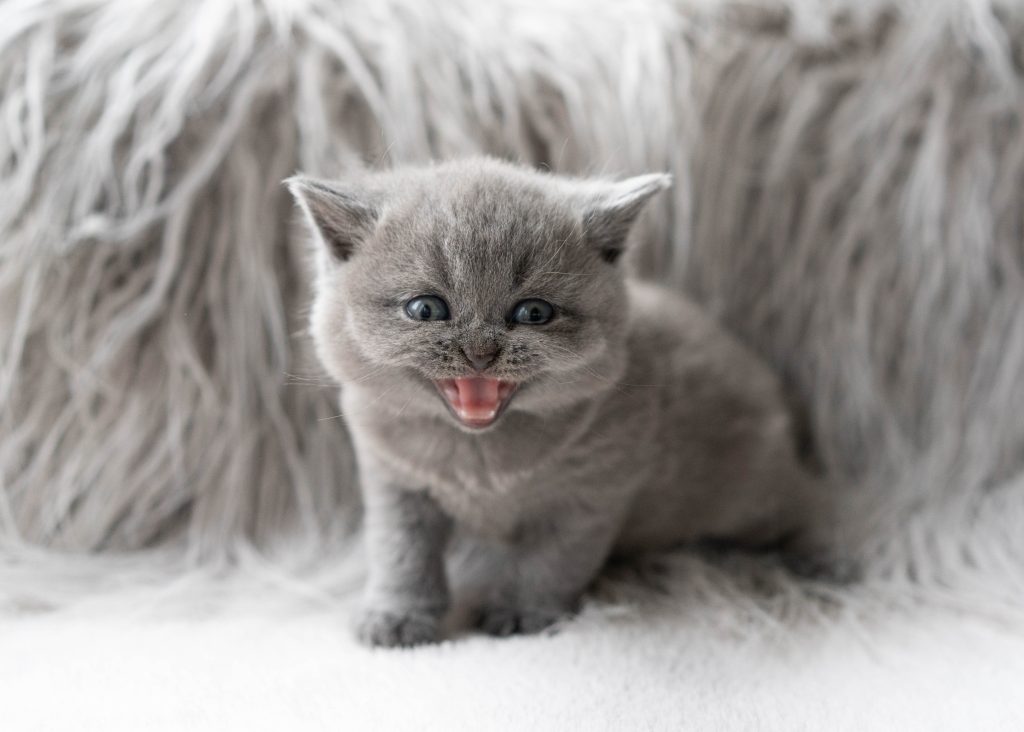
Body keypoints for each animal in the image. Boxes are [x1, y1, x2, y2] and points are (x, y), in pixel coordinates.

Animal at [286, 158, 839, 647]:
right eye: (425, 309)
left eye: (533, 313)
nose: (480, 351)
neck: (480, 461)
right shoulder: (394, 480)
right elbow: (400, 553)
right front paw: (396, 617)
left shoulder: (591, 496)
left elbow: (550, 562)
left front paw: (519, 613)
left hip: (752, 490)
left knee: (811, 499)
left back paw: (826, 561)